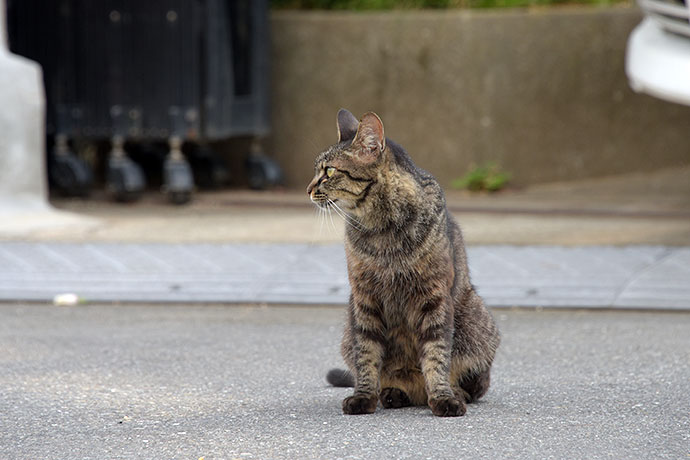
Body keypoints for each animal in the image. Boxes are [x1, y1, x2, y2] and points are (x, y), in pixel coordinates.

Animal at [308, 108, 500, 416]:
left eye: (330, 171)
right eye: (317, 170)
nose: (308, 189)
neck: (381, 230)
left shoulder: (434, 296)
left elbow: (436, 354)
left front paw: (443, 397)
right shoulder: (364, 298)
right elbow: (367, 354)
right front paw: (364, 396)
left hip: (476, 323)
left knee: (476, 384)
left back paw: (453, 391)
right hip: (348, 333)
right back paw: (392, 393)